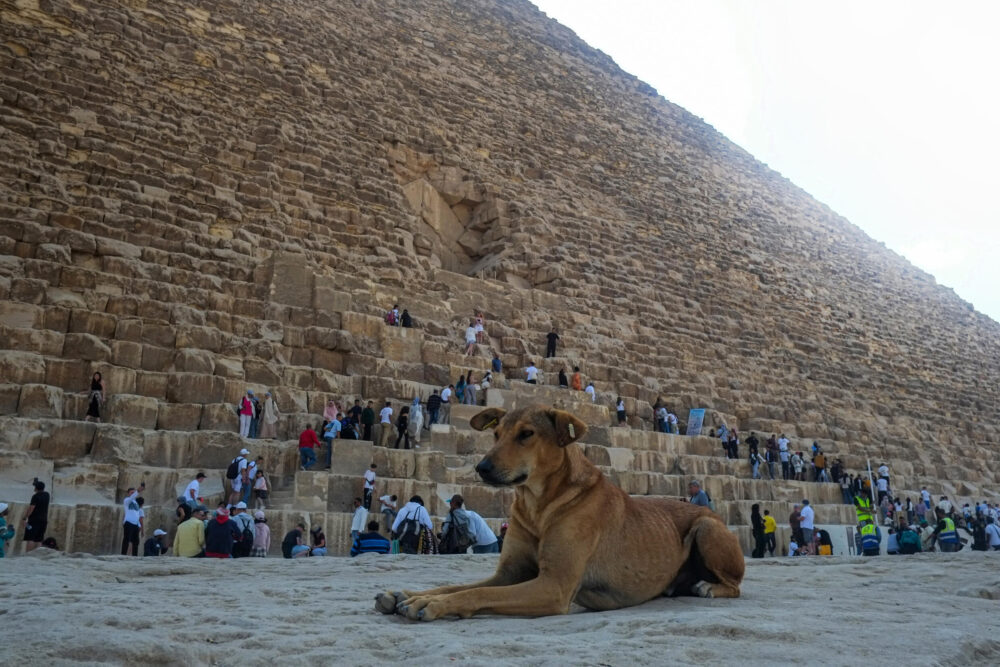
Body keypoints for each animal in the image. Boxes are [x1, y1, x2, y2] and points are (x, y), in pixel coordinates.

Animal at [376, 404, 744, 624]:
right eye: (496, 434)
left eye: (526, 434)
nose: (482, 468)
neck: (539, 505)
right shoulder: (509, 574)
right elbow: (455, 585)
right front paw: (407, 595)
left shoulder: (553, 586)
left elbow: (476, 593)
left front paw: (429, 605)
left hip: (707, 527)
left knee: (735, 585)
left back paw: (708, 588)